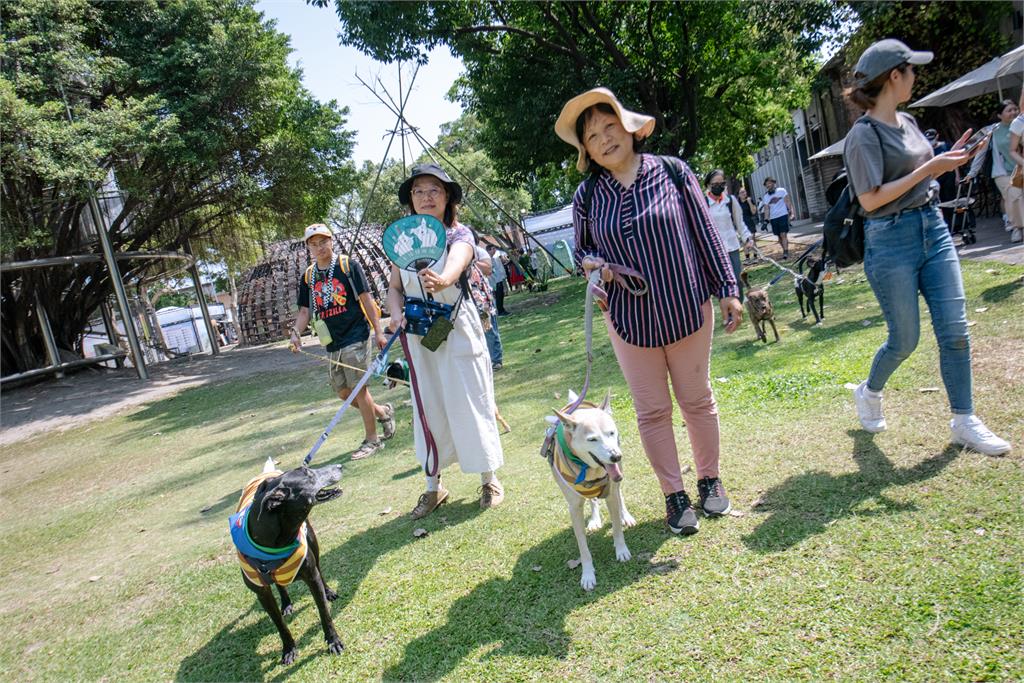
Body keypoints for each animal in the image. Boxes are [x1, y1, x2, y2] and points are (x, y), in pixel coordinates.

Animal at [230, 458, 346, 663]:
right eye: (308, 474)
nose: (340, 466)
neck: (276, 542)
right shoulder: (262, 593)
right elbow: (279, 624)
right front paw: (289, 648)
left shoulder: (311, 576)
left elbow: (324, 612)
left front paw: (333, 640)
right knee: (280, 585)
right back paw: (286, 603)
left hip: (313, 542)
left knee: (320, 568)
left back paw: (328, 591)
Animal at [544, 389, 630, 593]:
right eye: (592, 439)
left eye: (611, 432)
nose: (616, 456)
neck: (588, 468)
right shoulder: (574, 508)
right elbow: (583, 548)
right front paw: (588, 574)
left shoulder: (611, 492)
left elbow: (616, 527)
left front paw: (621, 550)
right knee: (593, 500)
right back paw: (594, 520)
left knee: (619, 493)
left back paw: (626, 516)